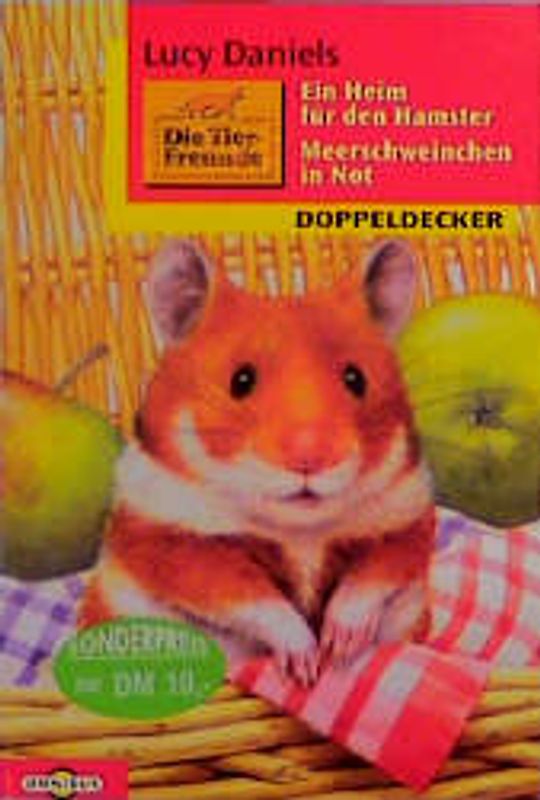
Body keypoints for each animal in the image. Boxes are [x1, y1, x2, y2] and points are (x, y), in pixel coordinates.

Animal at [81, 239, 435, 686]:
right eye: (241, 381)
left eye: (356, 379)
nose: (310, 459)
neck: (300, 531)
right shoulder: (170, 544)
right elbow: (247, 594)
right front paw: (305, 663)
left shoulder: (408, 524)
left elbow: (373, 575)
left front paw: (338, 646)